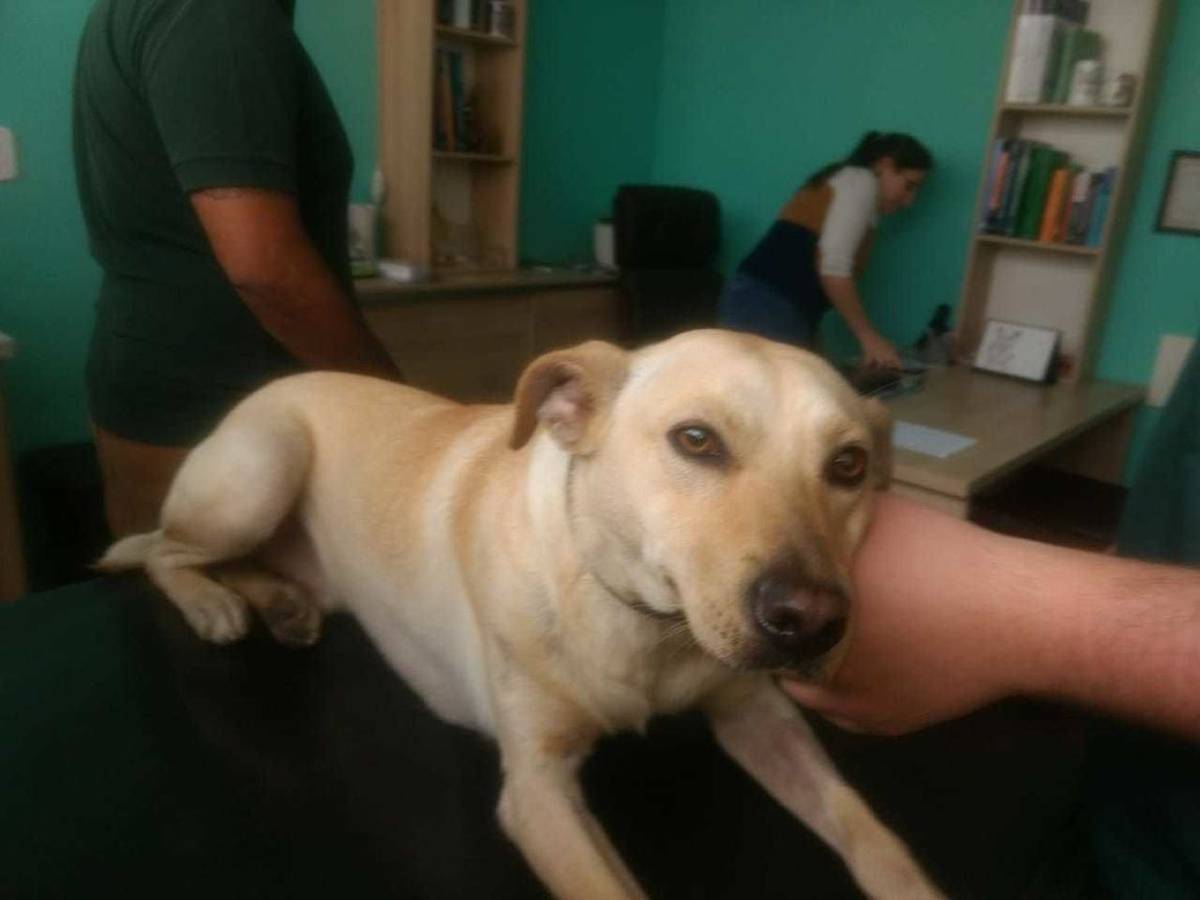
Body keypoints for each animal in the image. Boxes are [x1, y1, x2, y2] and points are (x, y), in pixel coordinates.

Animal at [99, 329, 943, 899]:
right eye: (697, 440)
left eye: (849, 466)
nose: (814, 621)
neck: (648, 626)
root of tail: (277, 385)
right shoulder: (538, 792)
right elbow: (605, 886)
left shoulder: (756, 714)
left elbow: (866, 826)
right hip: (260, 474)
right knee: (161, 551)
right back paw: (213, 602)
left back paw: (280, 602)